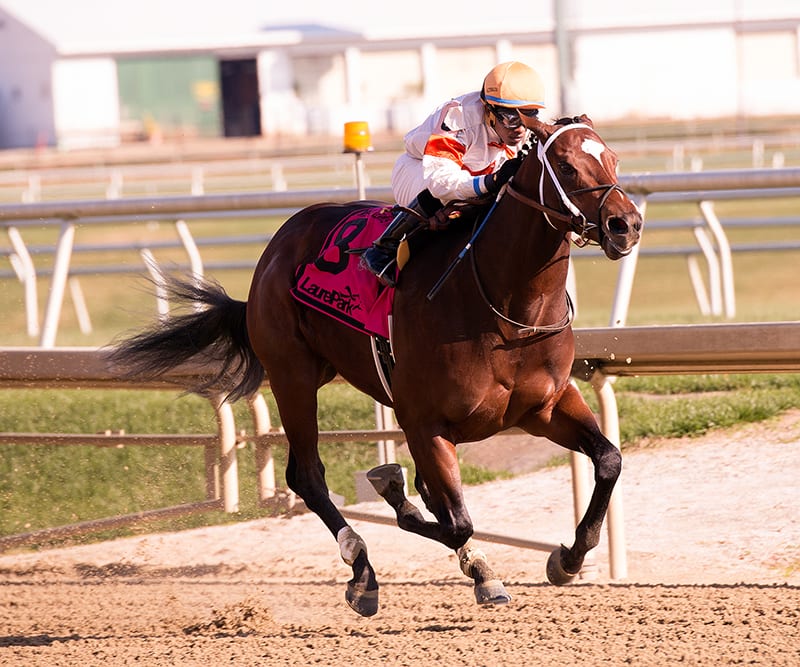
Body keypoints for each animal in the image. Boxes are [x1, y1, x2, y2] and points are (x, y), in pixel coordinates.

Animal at [108, 113, 644, 616]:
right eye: (568, 166)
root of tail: (276, 247)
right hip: (292, 376)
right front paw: (393, 493)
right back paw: (362, 572)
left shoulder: (544, 407)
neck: (505, 306)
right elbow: (452, 519)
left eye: (614, 158)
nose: (627, 224)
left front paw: (567, 559)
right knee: (308, 476)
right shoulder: (424, 422)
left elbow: (609, 460)